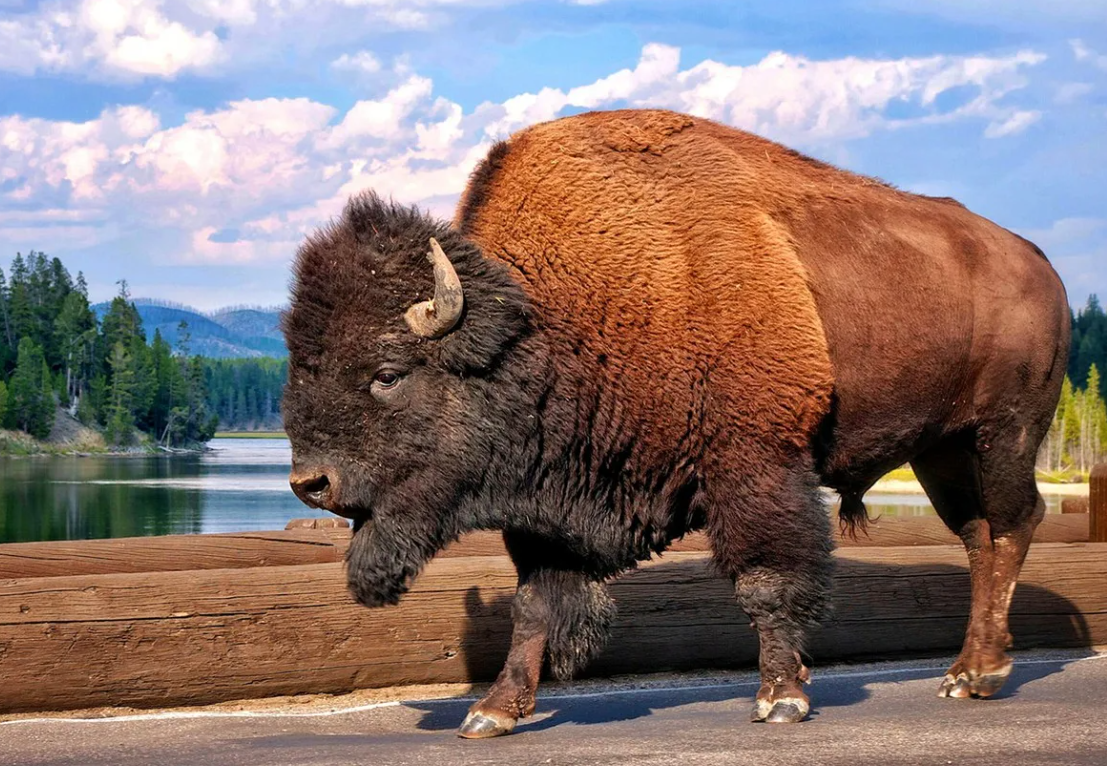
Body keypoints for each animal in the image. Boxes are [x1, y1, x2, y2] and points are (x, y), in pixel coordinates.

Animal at [285, 107, 1071, 735]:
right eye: (301, 366)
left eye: (388, 373)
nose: (309, 483)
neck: (543, 325)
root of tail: (1042, 266)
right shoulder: (548, 513)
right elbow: (534, 606)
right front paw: (493, 713)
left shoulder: (755, 466)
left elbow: (766, 580)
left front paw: (781, 699)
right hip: (942, 450)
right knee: (977, 535)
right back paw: (963, 671)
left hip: (1003, 433)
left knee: (1014, 524)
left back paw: (981, 676)